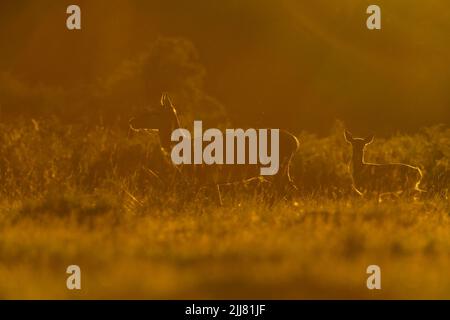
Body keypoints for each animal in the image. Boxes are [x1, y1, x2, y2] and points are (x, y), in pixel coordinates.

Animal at [128, 92, 300, 204]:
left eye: (154, 112)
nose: (131, 121)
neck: (182, 148)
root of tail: (296, 142)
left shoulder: (199, 178)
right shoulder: (211, 180)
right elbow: (218, 203)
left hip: (277, 169)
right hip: (283, 170)